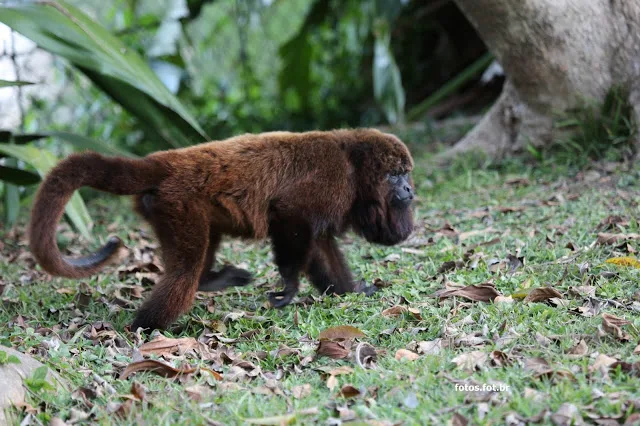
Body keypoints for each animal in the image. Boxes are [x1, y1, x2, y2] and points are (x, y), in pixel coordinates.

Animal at [28, 128, 416, 332]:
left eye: (406, 174)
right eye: (395, 174)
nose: (410, 190)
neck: (353, 164)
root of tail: (167, 162)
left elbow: (321, 246)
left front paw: (351, 290)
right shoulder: (330, 182)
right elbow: (289, 214)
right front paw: (289, 287)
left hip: (166, 207)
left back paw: (212, 281)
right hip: (179, 202)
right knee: (184, 272)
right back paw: (146, 328)